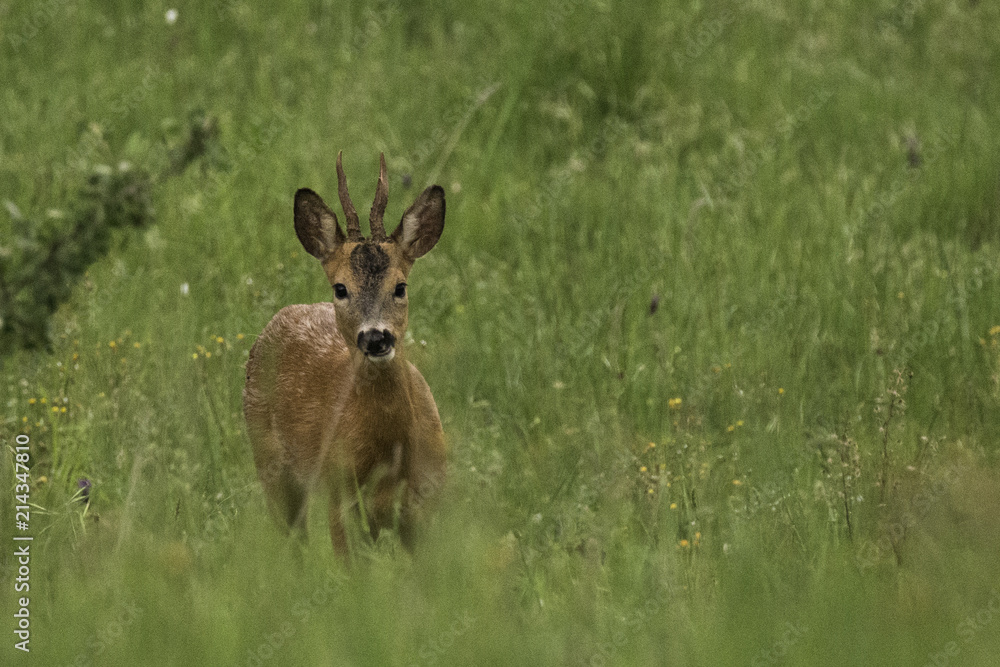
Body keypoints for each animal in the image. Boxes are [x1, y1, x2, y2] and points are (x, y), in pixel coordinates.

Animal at [242, 154, 446, 556]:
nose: (375, 338)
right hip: (270, 464)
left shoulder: (426, 503)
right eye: (340, 288)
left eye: (400, 286)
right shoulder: (340, 496)